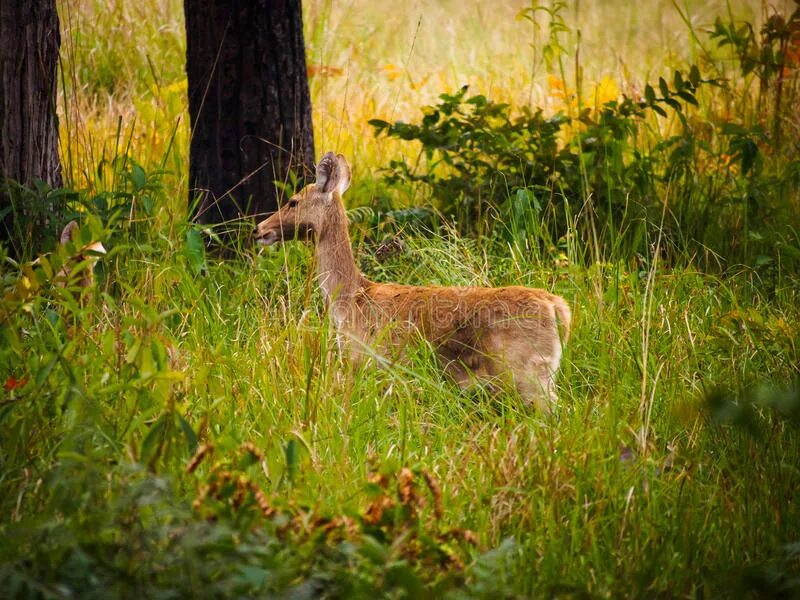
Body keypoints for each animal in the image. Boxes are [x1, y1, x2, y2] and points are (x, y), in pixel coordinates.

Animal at [255, 152, 568, 410]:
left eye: (293, 201)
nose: (258, 229)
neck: (351, 299)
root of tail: (558, 307)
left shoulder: (365, 358)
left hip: (526, 370)